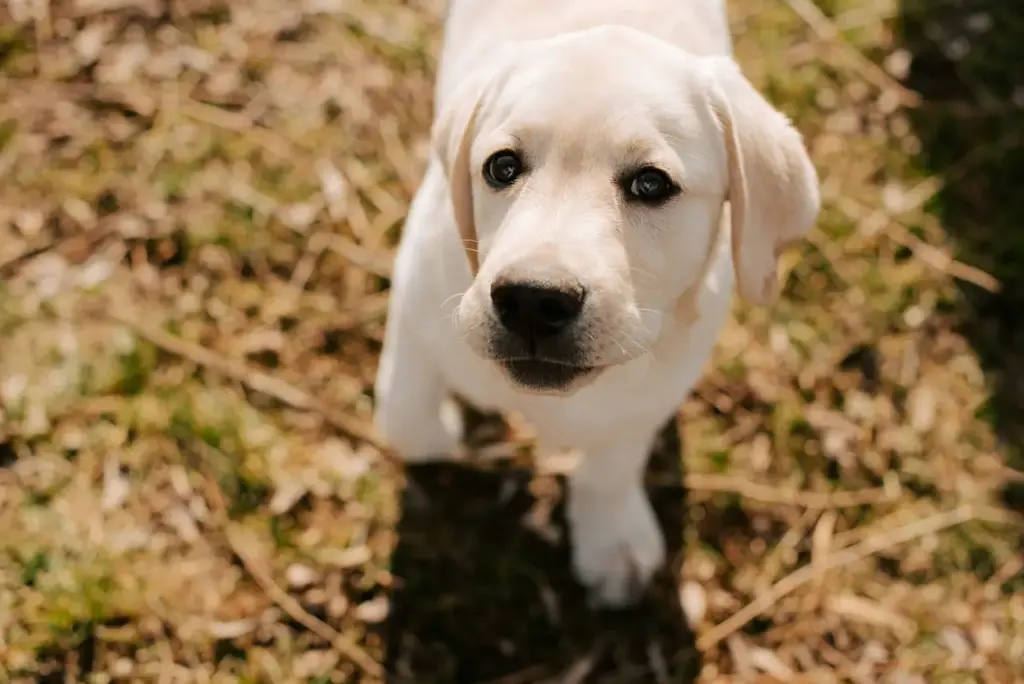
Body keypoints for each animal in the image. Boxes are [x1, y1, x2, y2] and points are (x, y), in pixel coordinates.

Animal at [372, 0, 819, 610]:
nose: (533, 300)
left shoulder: (659, 384)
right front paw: (450, 434)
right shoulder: (418, 290)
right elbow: (408, 418)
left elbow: (612, 461)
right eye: (501, 168)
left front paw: (612, 541)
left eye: (651, 184)